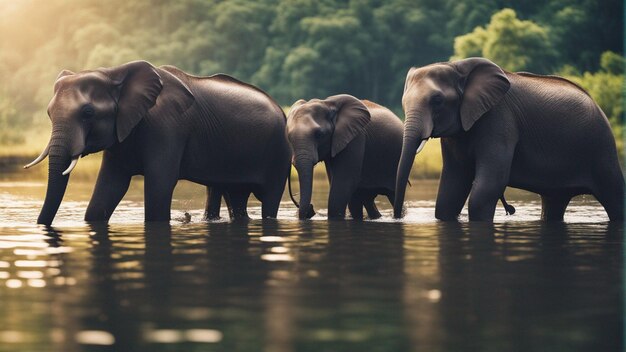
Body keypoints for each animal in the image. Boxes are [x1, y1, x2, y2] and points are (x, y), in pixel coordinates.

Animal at [26, 59, 290, 226]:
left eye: (88, 112)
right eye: (49, 113)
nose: (42, 225)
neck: (113, 73)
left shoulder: (168, 128)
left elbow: (159, 183)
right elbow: (110, 185)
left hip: (279, 150)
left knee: (269, 198)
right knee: (236, 197)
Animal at [392, 58, 620, 223]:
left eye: (437, 100)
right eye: (403, 103)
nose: (397, 218)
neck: (457, 66)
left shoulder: (499, 120)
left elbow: (489, 185)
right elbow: (451, 189)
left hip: (601, 148)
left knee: (613, 194)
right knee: (554, 201)